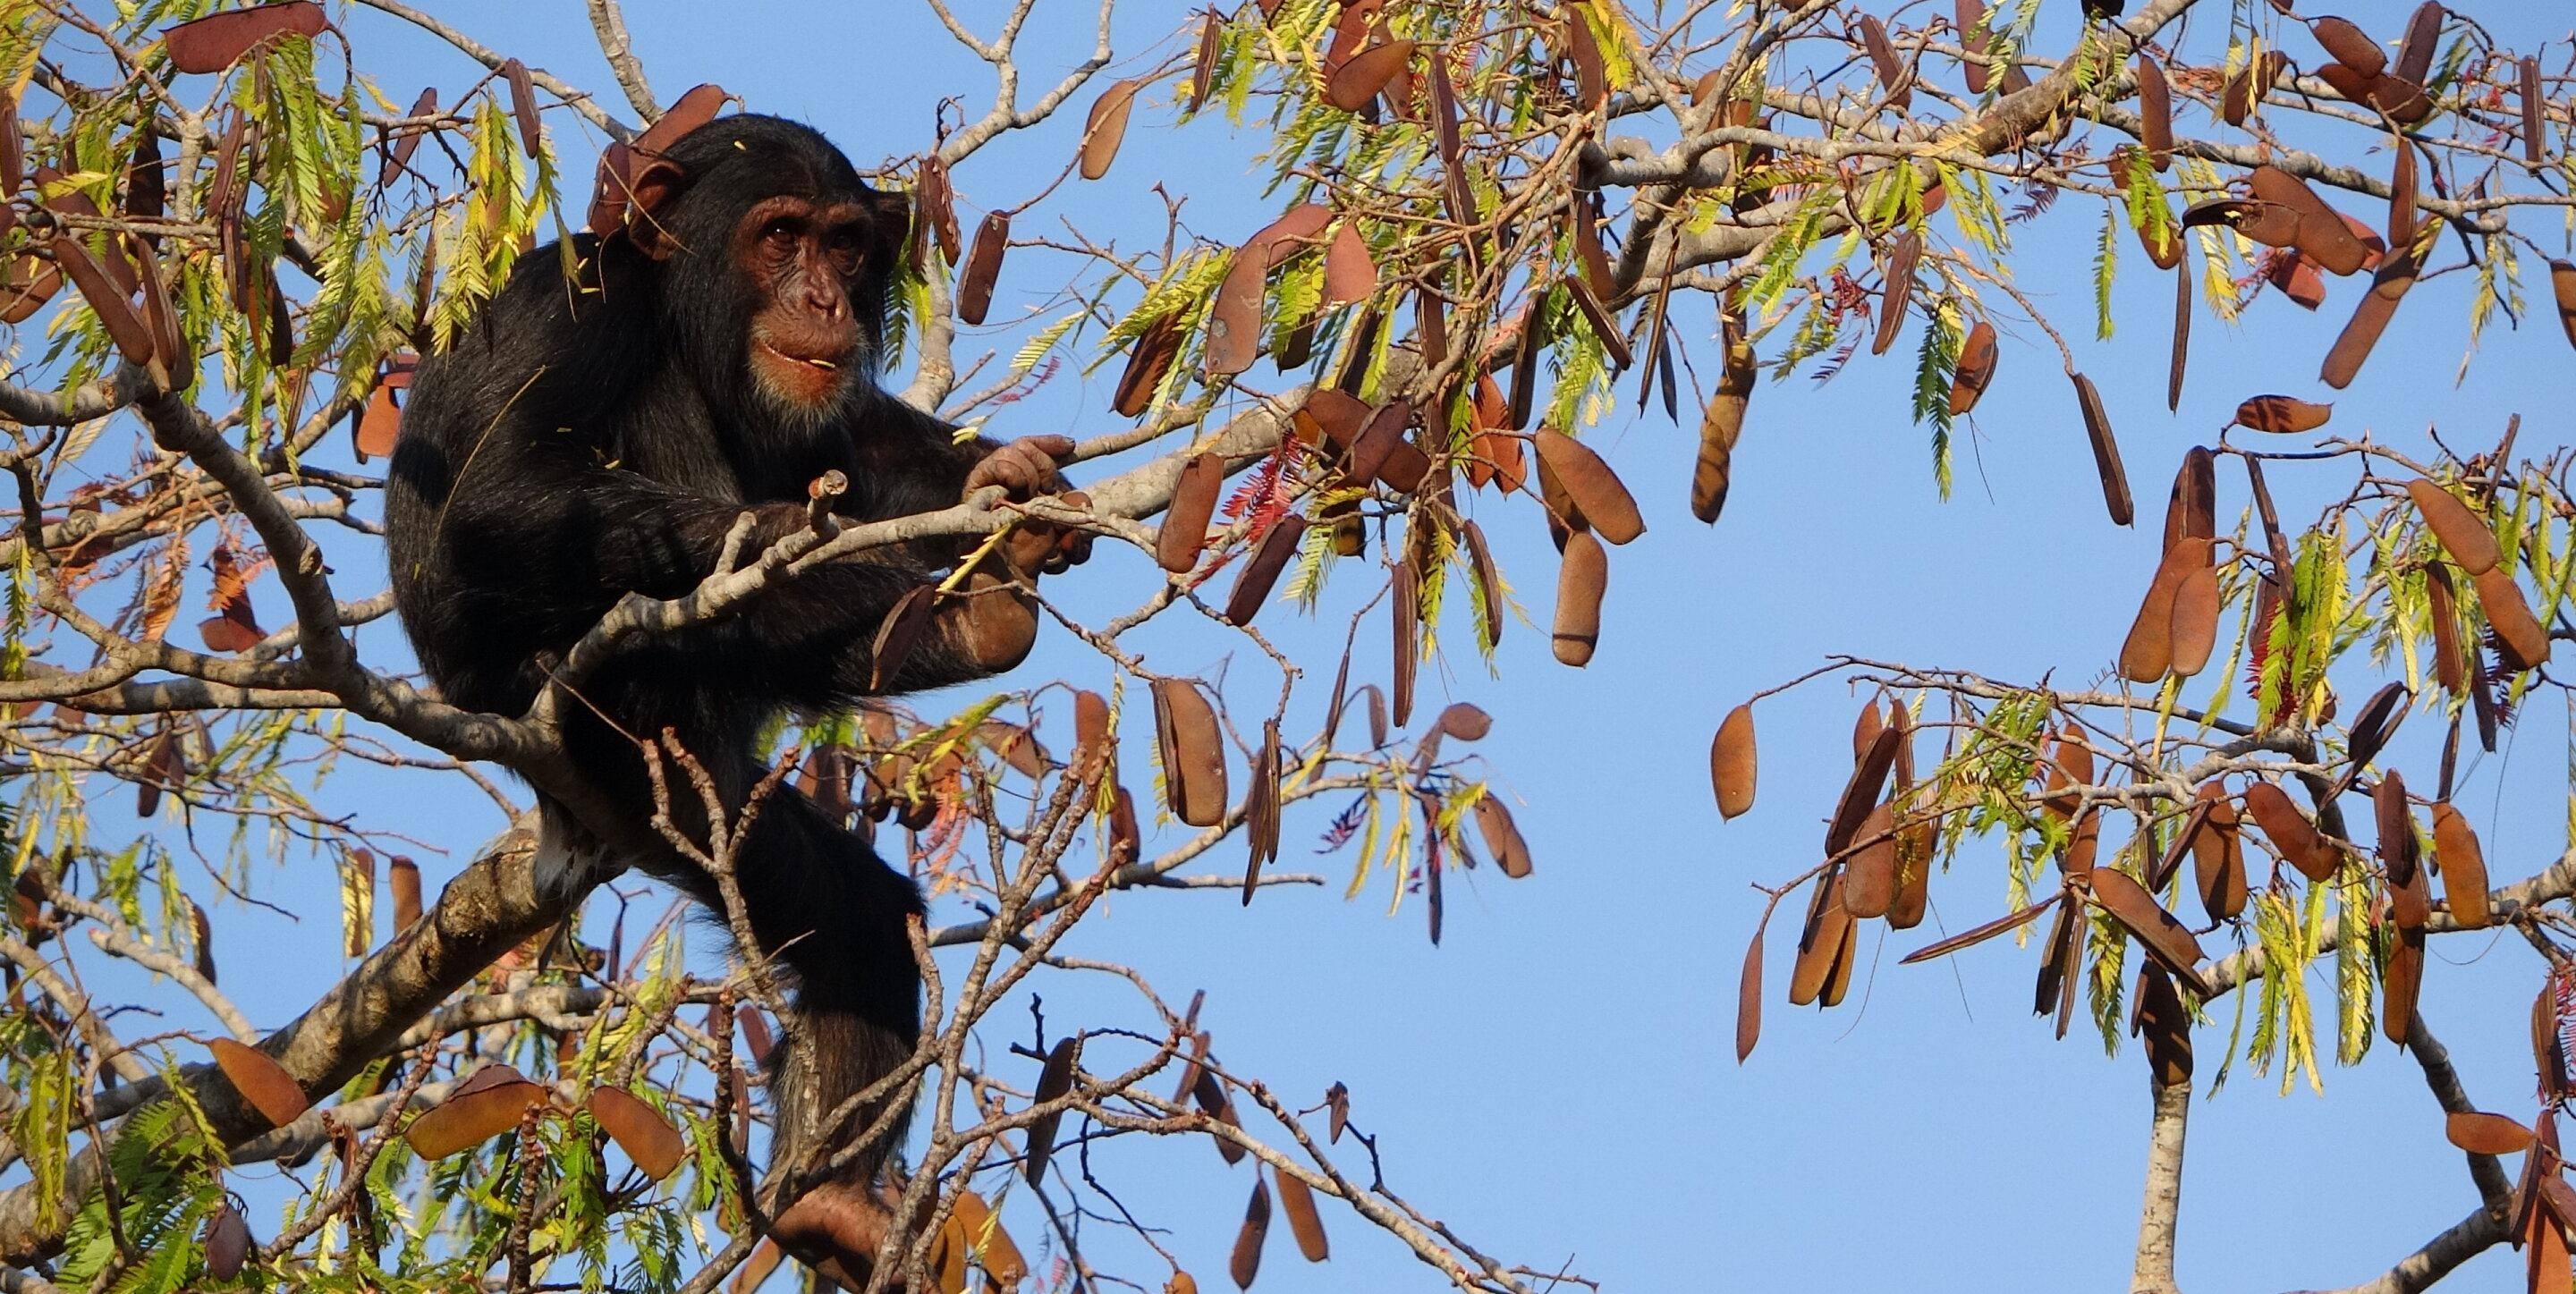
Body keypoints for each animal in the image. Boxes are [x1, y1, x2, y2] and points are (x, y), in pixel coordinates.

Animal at [381, 113, 1076, 1283]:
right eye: (780, 235)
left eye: (845, 244)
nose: (825, 298)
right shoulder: (582, 309)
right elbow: (496, 492)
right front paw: (787, 533)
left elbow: (855, 434)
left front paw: (1011, 478)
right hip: (621, 741)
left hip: (710, 801)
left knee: (855, 919)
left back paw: (832, 1201)